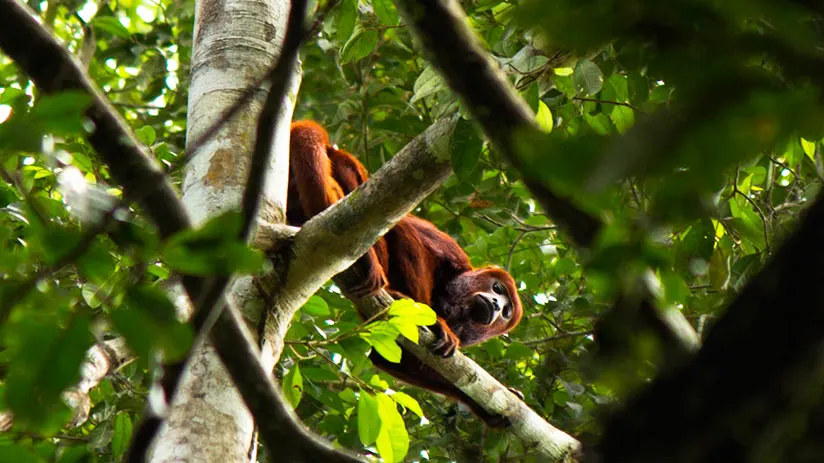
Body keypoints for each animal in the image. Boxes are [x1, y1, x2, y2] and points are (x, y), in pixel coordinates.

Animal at [288, 120, 520, 428]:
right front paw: (435, 323)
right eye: (497, 289)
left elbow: (396, 360)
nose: (495, 306)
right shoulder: (454, 253)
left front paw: (485, 410)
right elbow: (401, 228)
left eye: (506, 312)